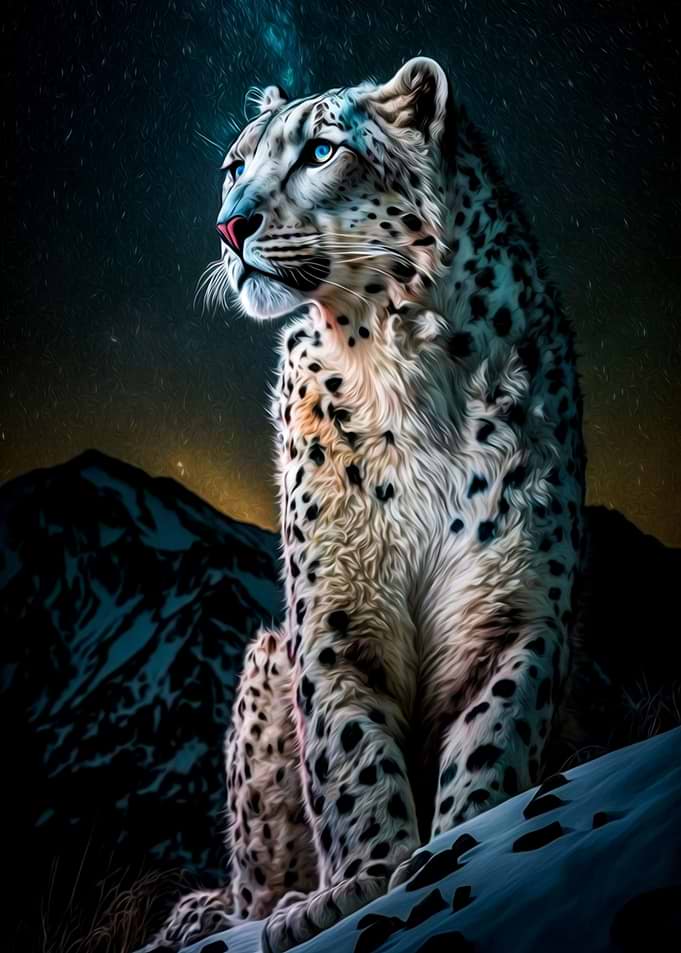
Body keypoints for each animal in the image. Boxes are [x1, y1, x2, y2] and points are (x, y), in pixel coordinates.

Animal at [145, 56, 585, 953]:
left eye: (321, 149)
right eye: (233, 165)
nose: (229, 227)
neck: (403, 367)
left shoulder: (517, 607)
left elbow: (492, 737)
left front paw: (462, 840)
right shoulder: (334, 612)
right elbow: (350, 750)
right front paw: (358, 881)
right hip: (263, 674)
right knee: (249, 877)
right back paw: (244, 904)